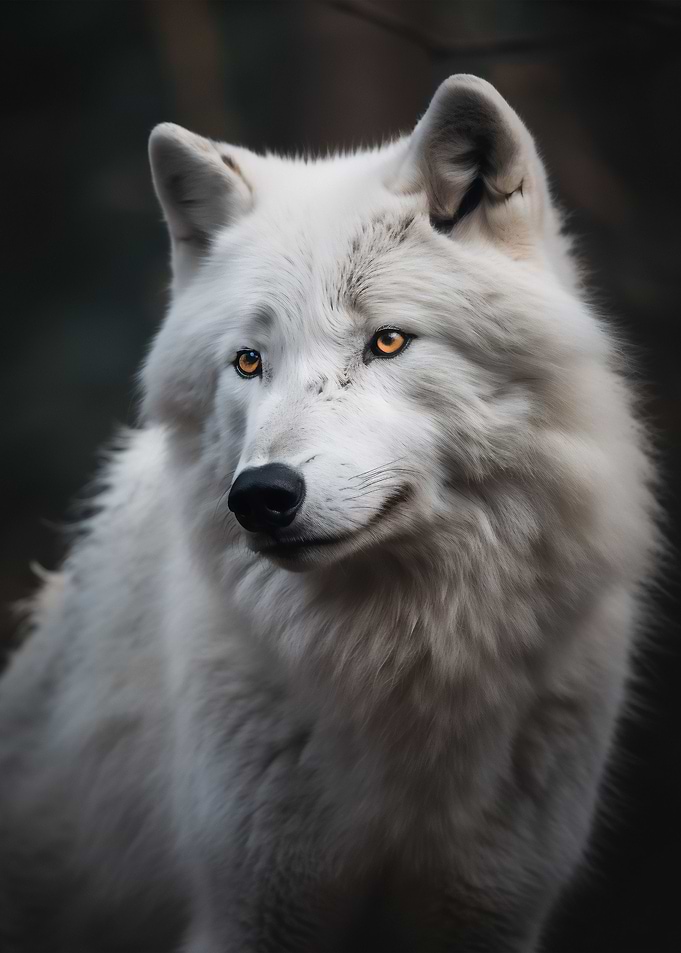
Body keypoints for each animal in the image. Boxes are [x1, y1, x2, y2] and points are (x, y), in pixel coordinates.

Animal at [0, 75, 656, 952]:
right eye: (249, 361)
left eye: (387, 342)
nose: (260, 496)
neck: (404, 660)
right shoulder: (253, 909)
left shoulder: (490, 909)